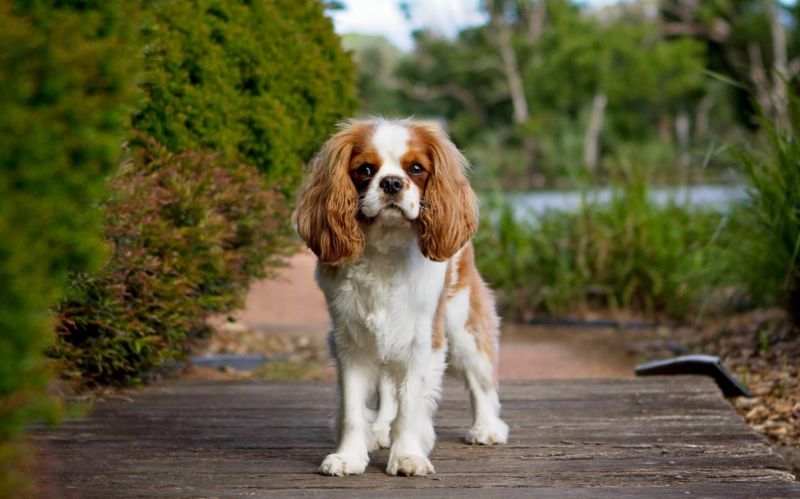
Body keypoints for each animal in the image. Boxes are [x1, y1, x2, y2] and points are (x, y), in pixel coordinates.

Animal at [292, 117, 506, 476]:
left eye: (416, 168)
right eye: (365, 169)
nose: (391, 182)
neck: (385, 248)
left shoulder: (422, 341)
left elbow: (410, 406)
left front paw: (407, 455)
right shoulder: (350, 343)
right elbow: (353, 407)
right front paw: (349, 456)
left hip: (462, 324)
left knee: (481, 378)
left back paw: (487, 427)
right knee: (387, 389)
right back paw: (380, 430)